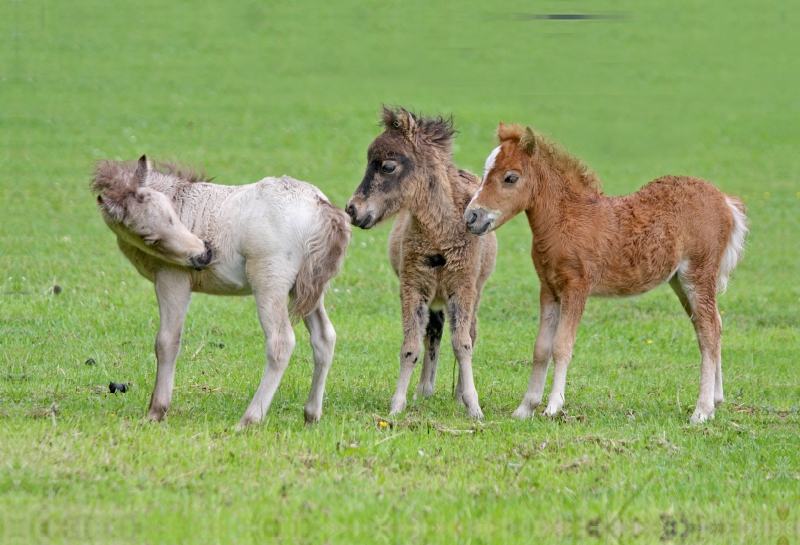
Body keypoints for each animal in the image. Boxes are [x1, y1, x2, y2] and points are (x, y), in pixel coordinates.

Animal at [466, 125, 748, 422]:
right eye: (485, 171)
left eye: (511, 177)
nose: (471, 217)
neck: (567, 219)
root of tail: (725, 200)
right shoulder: (549, 289)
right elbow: (541, 348)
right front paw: (525, 408)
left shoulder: (576, 287)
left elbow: (562, 345)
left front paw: (553, 406)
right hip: (680, 282)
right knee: (711, 325)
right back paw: (716, 400)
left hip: (698, 273)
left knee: (709, 330)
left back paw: (702, 410)